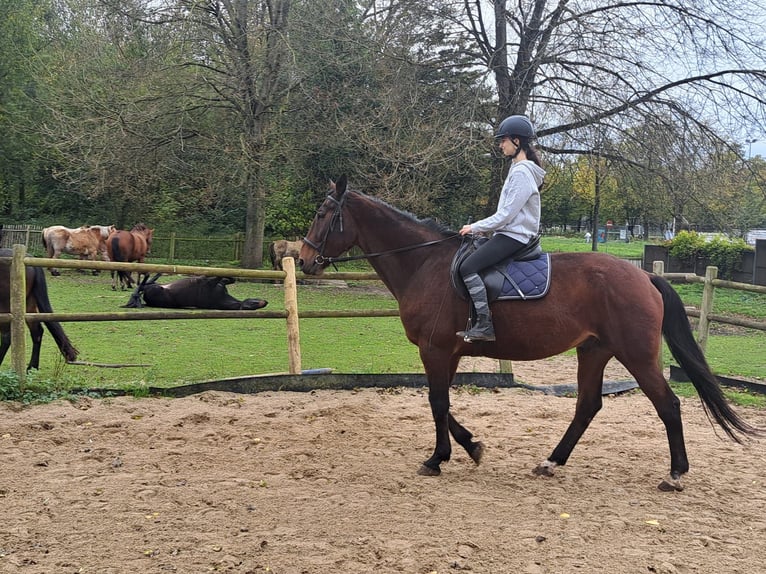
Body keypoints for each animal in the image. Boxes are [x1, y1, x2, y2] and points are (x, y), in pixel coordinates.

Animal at [300, 174, 760, 490]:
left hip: (637, 355)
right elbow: (443, 403)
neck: (424, 264)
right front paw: (471, 447)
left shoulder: (434, 350)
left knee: (668, 405)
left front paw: (437, 458)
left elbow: (437, 402)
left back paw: (675, 474)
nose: (304, 261)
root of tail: (644, 276)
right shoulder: (448, 353)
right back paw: (552, 461)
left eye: (322, 215)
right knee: (588, 405)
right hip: (594, 350)